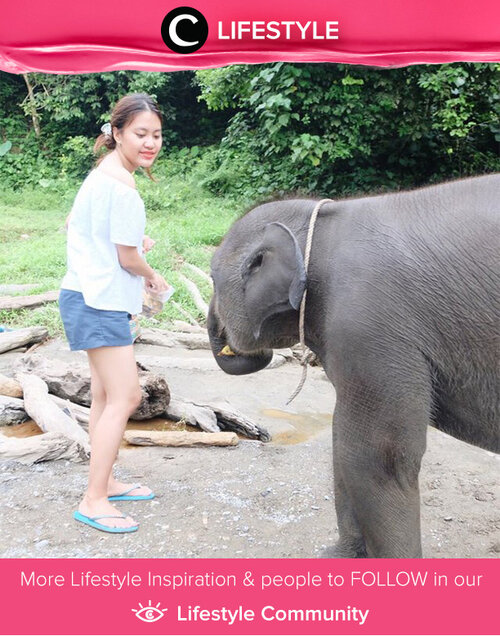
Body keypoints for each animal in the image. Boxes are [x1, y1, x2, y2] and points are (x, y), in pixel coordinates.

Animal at [207, 174, 500, 556]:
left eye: (212, 278)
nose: (224, 337)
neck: (324, 221)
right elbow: (341, 442)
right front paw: (340, 556)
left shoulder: (370, 326)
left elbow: (375, 458)